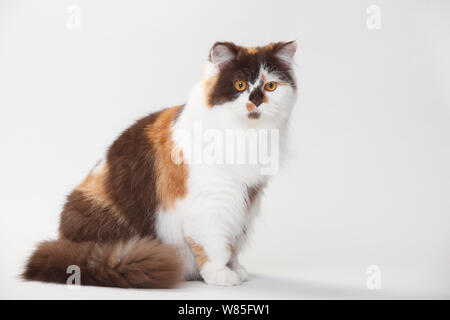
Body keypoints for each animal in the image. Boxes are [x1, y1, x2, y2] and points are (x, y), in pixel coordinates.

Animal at [22, 40, 298, 288]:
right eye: (240, 85)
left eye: (271, 86)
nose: (257, 100)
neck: (246, 135)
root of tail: (65, 246)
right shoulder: (210, 203)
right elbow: (214, 245)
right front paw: (221, 274)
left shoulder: (247, 200)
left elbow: (234, 243)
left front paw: (236, 269)